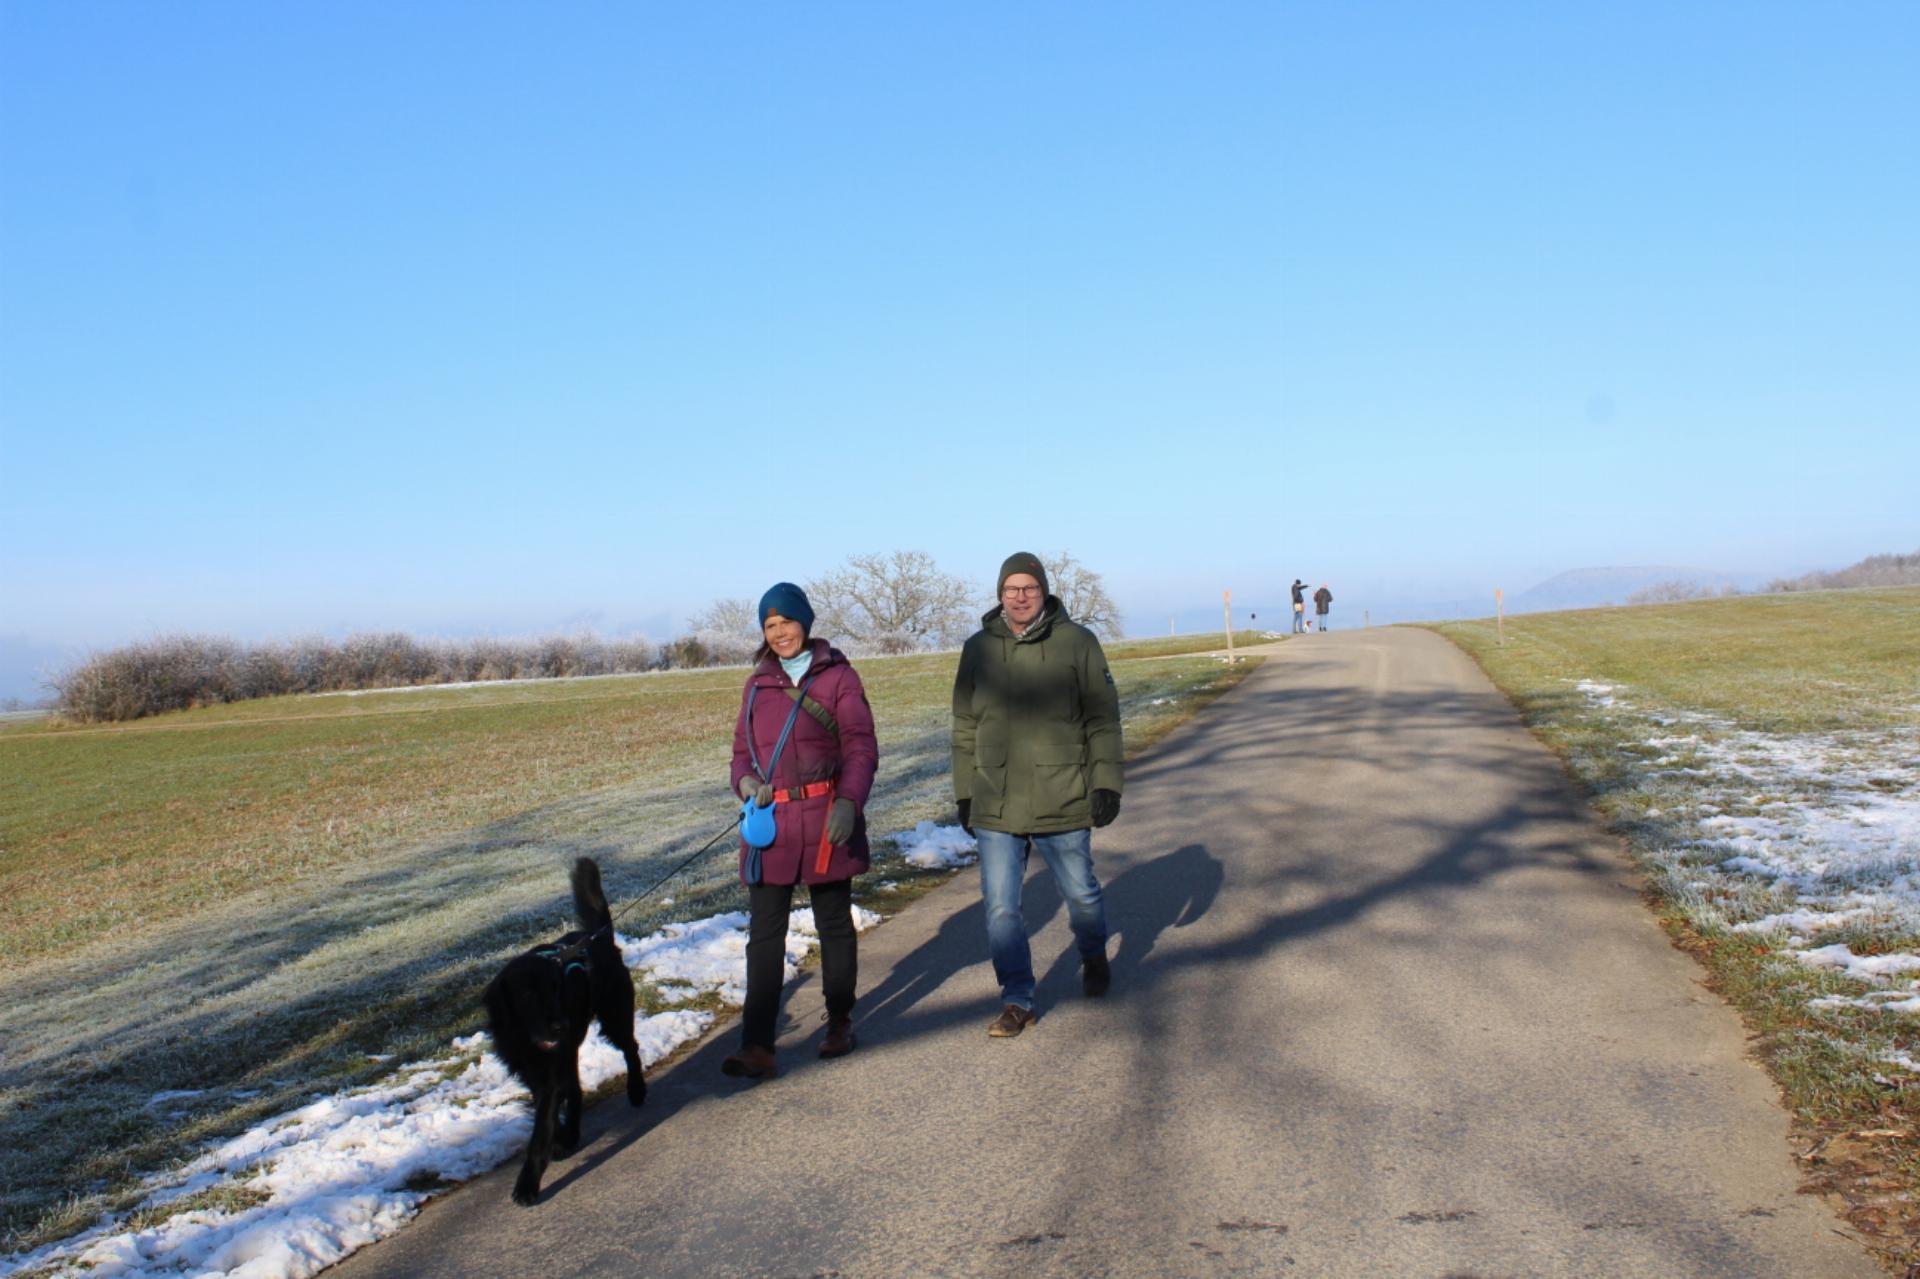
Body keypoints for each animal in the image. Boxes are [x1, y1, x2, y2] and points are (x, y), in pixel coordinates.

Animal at [483, 852, 648, 1198]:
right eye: (527, 995)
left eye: (555, 988)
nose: (559, 1024)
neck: (528, 1039)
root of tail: (599, 937)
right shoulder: (531, 1068)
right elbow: (549, 1108)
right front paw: (560, 1138)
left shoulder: (552, 1070)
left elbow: (541, 1128)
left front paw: (527, 1184)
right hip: (575, 1043)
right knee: (576, 1086)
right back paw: (570, 1133)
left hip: (613, 1017)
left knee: (630, 1048)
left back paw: (636, 1090)